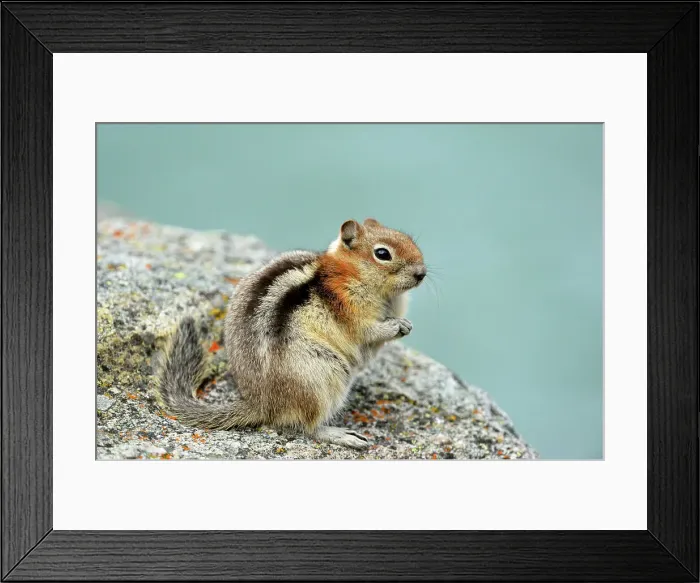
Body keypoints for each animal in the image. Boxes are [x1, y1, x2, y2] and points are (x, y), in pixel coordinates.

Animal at [153, 218, 427, 449]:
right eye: (382, 253)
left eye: (408, 239)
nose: (422, 273)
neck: (350, 273)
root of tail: (261, 404)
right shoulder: (350, 309)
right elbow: (368, 331)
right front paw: (396, 326)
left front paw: (406, 325)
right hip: (323, 372)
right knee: (307, 426)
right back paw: (341, 435)